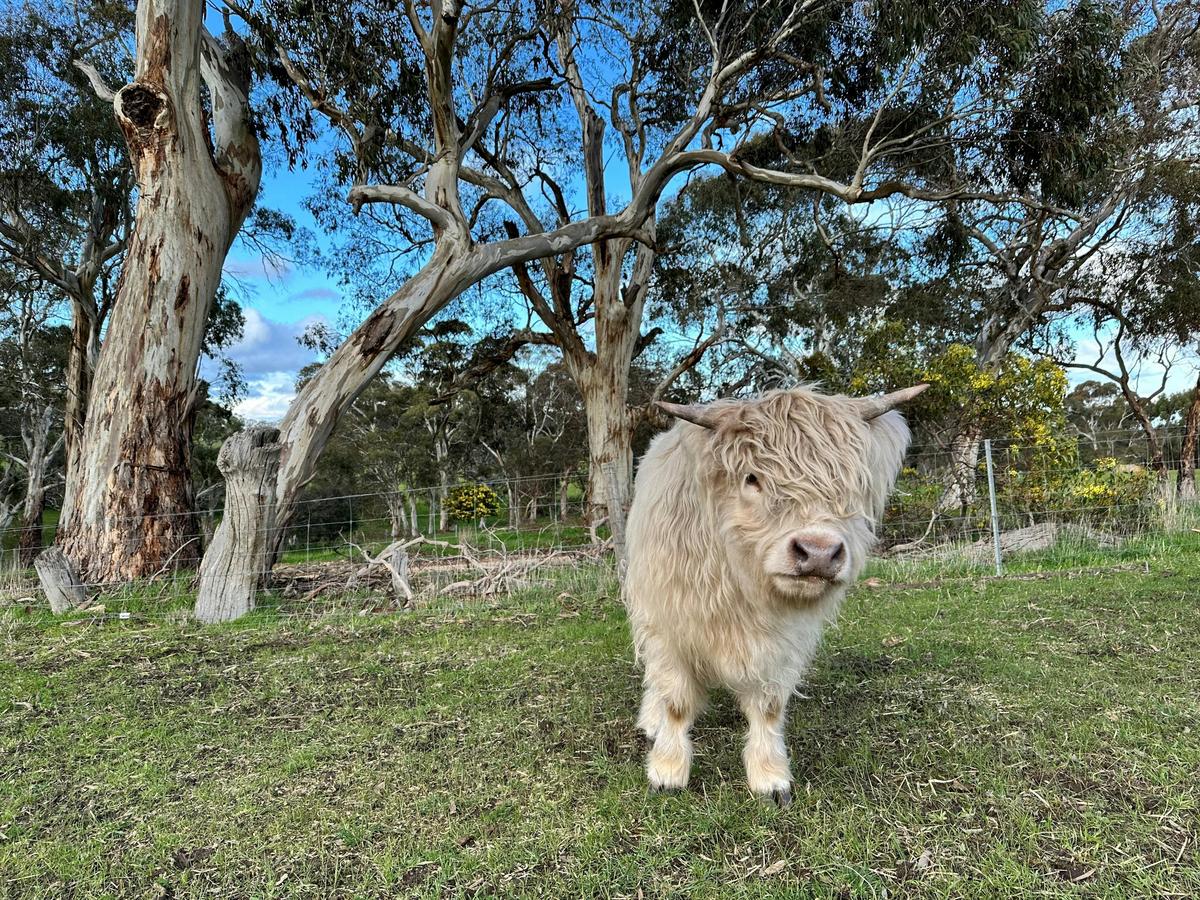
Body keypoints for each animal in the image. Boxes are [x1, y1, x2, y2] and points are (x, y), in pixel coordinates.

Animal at [623, 384, 925, 806]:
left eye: (848, 483)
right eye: (752, 477)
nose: (818, 552)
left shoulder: (784, 642)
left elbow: (768, 706)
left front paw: (770, 778)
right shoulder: (670, 624)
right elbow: (676, 702)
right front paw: (667, 771)